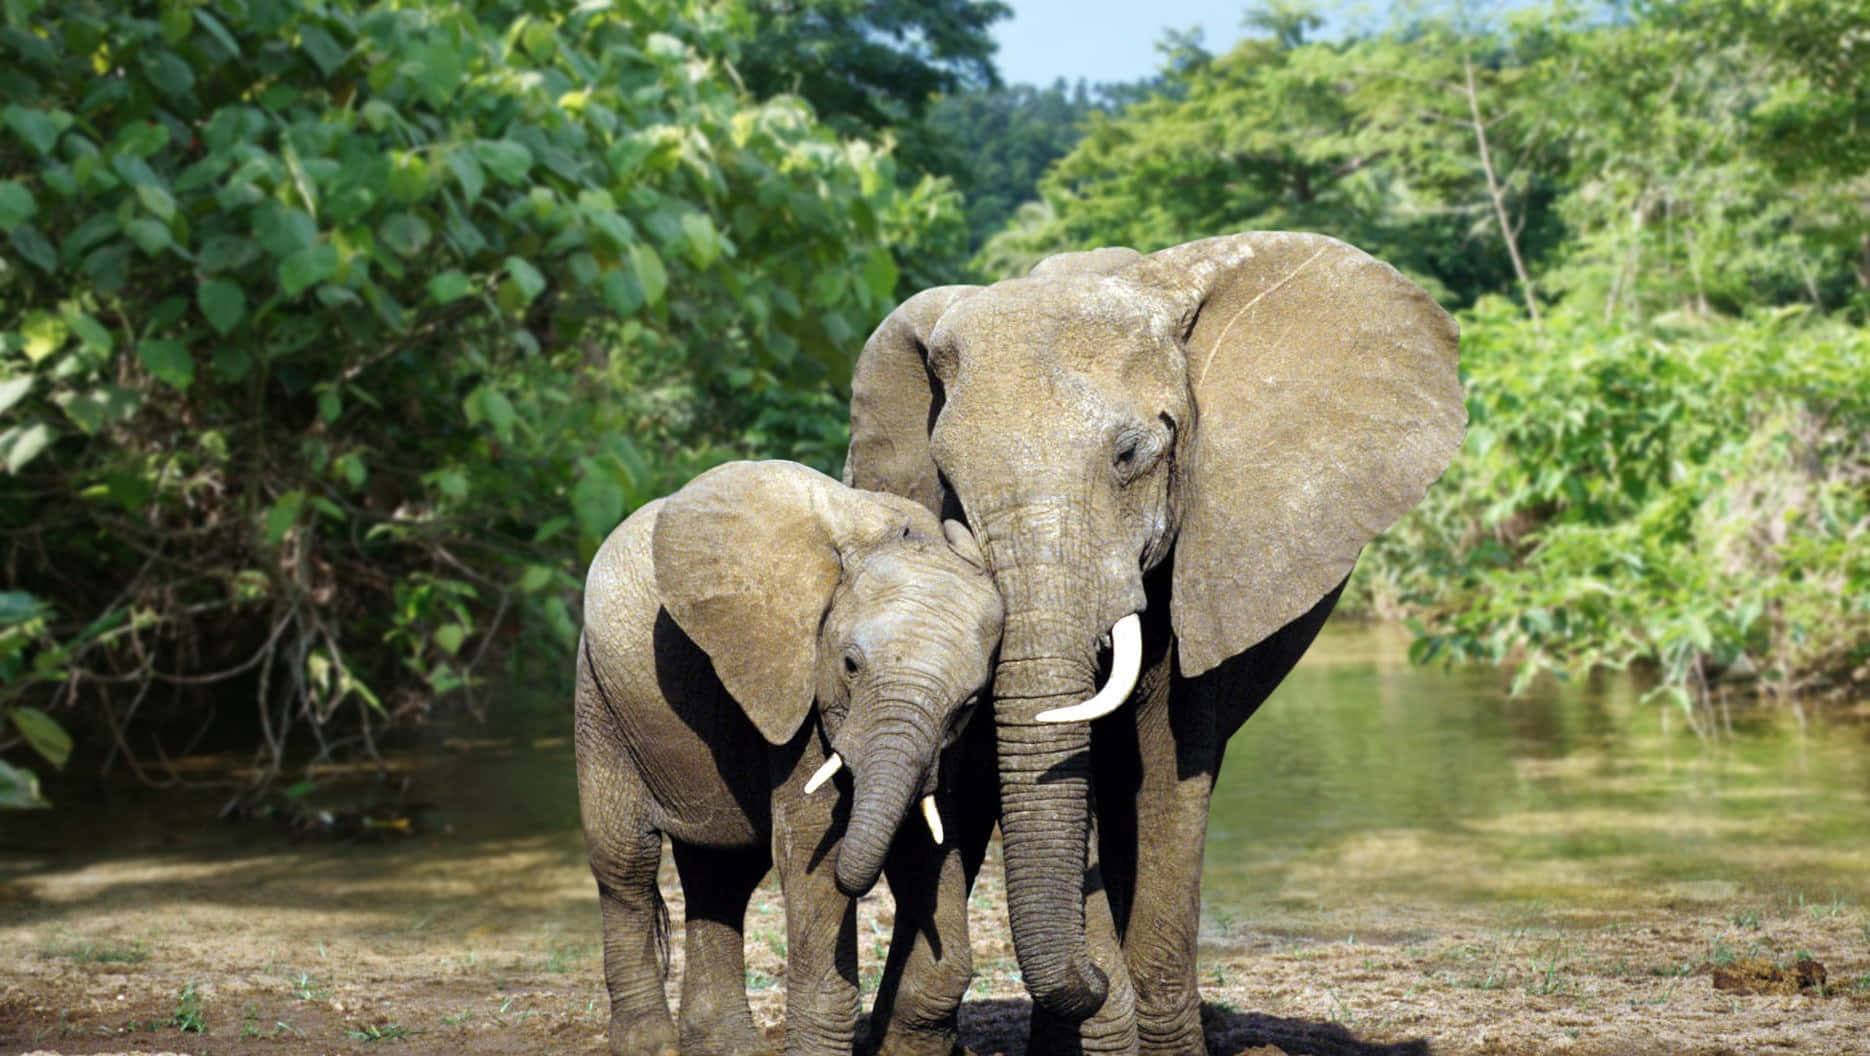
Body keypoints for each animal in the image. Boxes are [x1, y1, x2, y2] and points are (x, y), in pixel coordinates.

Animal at [573, 460, 1004, 1056]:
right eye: (850, 665)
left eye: (968, 703)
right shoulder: (799, 691)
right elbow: (813, 845)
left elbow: (928, 843)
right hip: (600, 697)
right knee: (625, 864)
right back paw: (651, 1046)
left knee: (721, 875)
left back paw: (724, 1047)